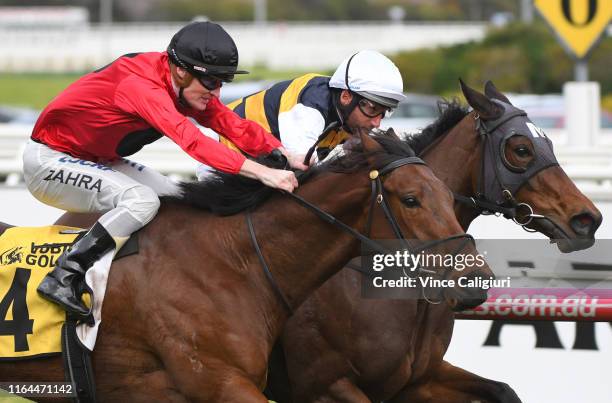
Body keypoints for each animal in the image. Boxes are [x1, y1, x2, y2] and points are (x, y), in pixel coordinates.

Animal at [264, 80, 604, 402]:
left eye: (549, 142)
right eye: (521, 149)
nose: (587, 219)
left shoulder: (420, 381)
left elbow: (504, 390)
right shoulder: (324, 387)